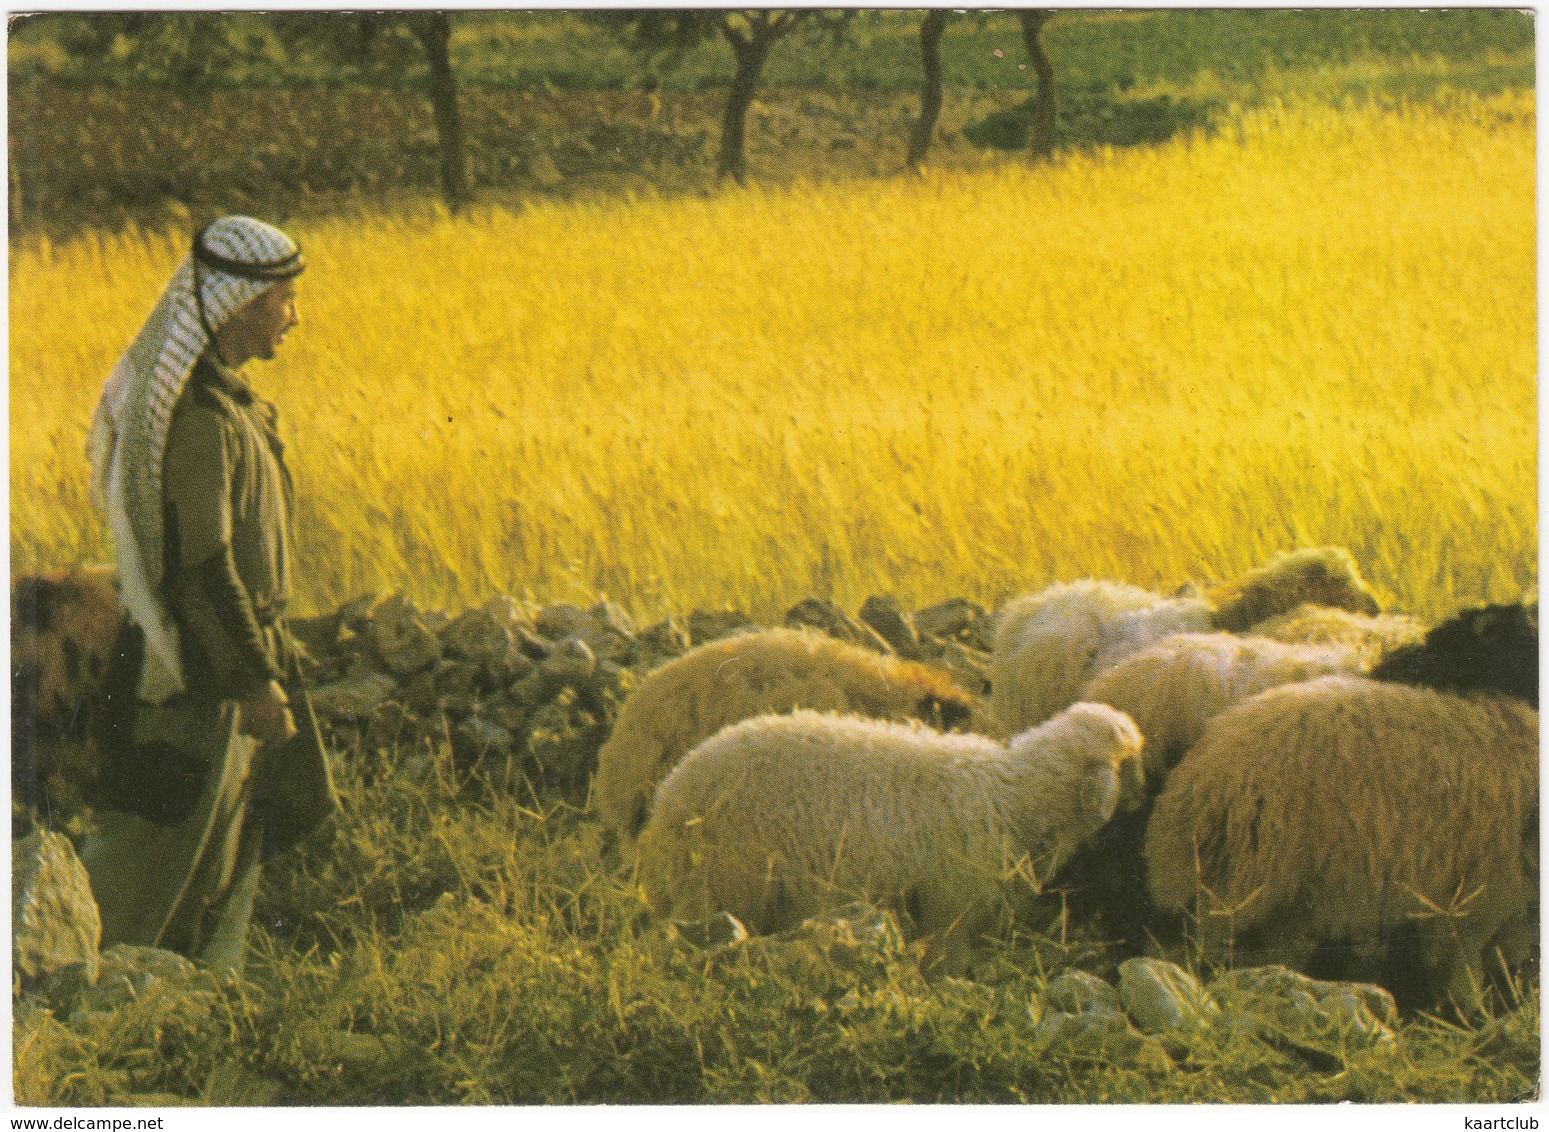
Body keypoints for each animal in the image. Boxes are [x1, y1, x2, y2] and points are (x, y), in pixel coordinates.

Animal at [635, 699, 1146, 972]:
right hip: (724, 882)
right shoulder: (951, 902)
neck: (1015, 792)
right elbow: (945, 960)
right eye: (1128, 761)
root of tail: (666, 801)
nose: (1144, 796)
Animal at [1146, 672, 1530, 1009]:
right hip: (1242, 880)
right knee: (1199, 947)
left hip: (1283, 892)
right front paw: (1471, 1011)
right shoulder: (1478, 895)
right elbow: (1462, 963)